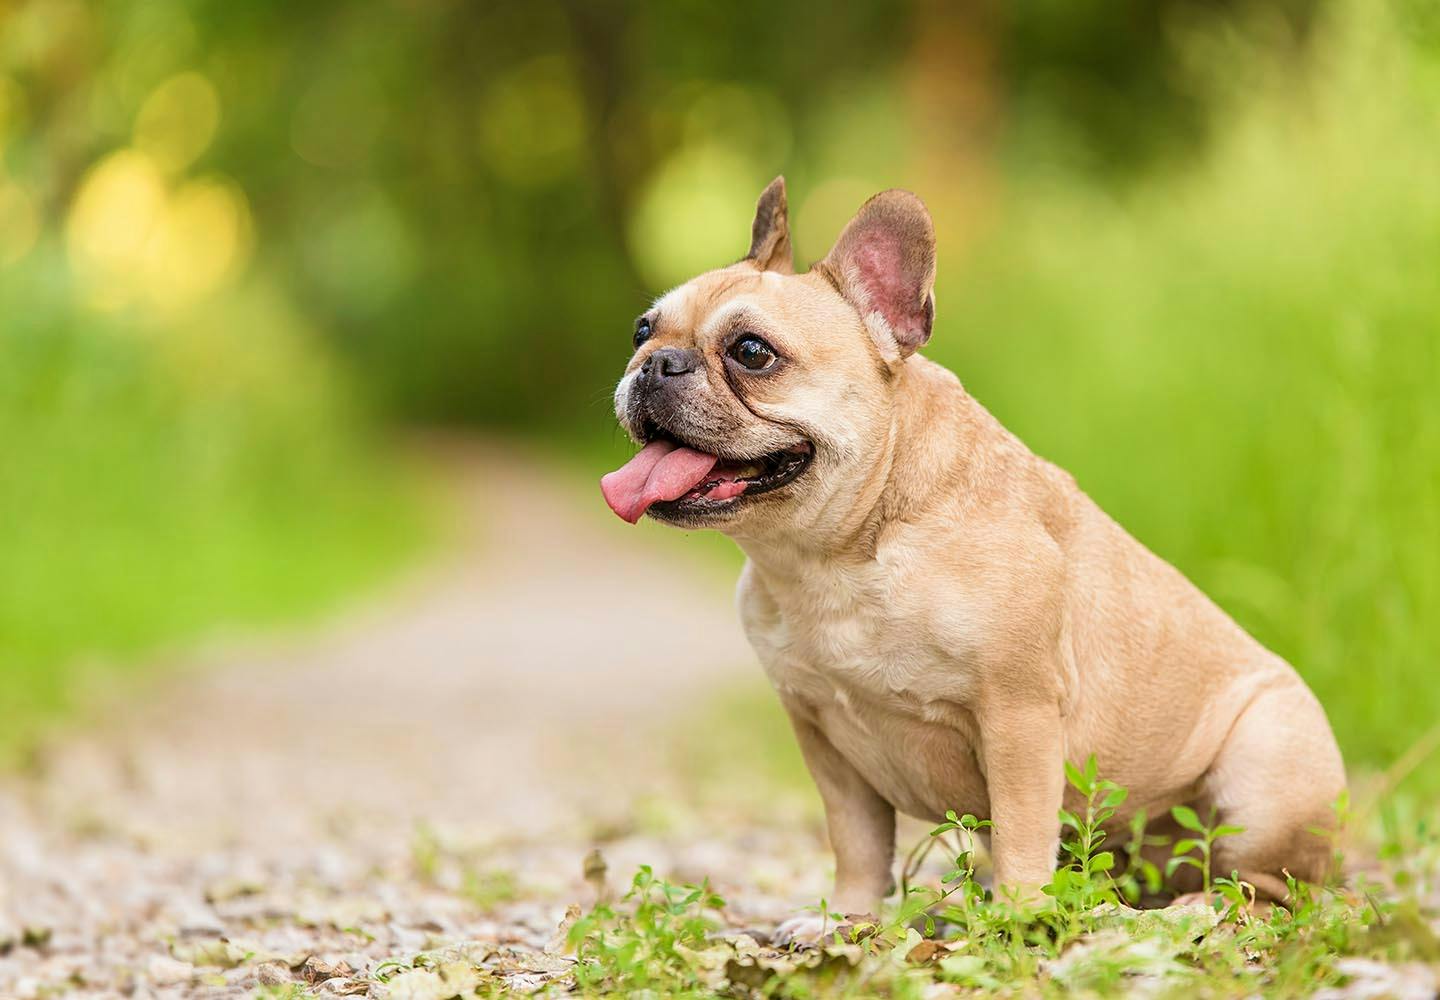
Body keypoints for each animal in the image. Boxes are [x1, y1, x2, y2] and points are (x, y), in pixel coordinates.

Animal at [596, 177, 1336, 939]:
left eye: (751, 351)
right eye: (642, 331)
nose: (655, 364)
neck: (834, 557)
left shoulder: (1018, 715)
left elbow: (1020, 829)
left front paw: (1018, 920)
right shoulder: (824, 740)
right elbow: (857, 843)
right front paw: (846, 919)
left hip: (1263, 774)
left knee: (1270, 889)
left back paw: (1191, 911)